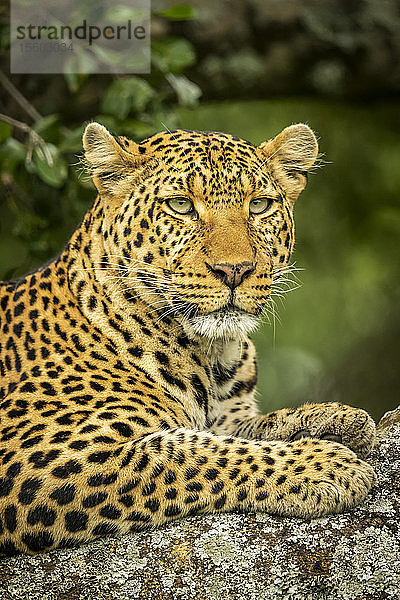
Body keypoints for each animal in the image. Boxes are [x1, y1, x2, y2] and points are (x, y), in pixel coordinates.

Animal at [0, 123, 376, 556]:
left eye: (259, 205)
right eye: (181, 205)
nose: (235, 270)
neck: (212, 354)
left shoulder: (227, 414)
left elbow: (241, 430)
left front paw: (338, 419)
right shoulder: (41, 458)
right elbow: (191, 452)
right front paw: (323, 465)